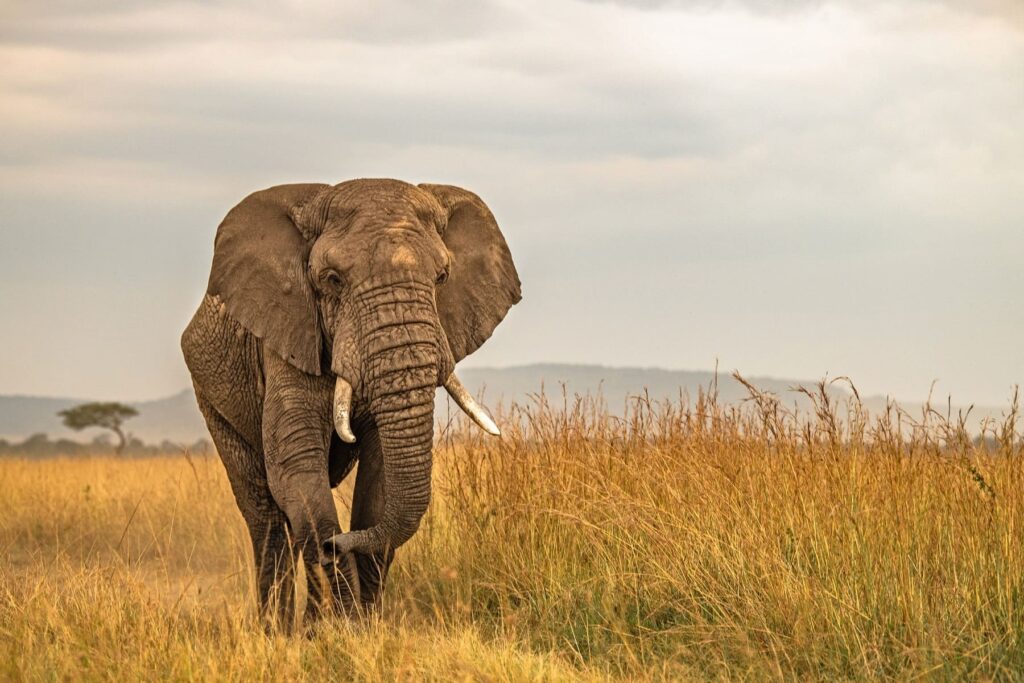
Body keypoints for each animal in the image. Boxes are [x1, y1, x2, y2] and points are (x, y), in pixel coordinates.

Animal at [180, 179, 520, 627]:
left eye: (443, 276)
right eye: (332, 279)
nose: (336, 544)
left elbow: (378, 481)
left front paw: (361, 626)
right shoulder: (288, 332)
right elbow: (297, 467)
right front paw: (339, 626)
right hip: (212, 398)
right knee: (267, 516)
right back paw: (277, 632)